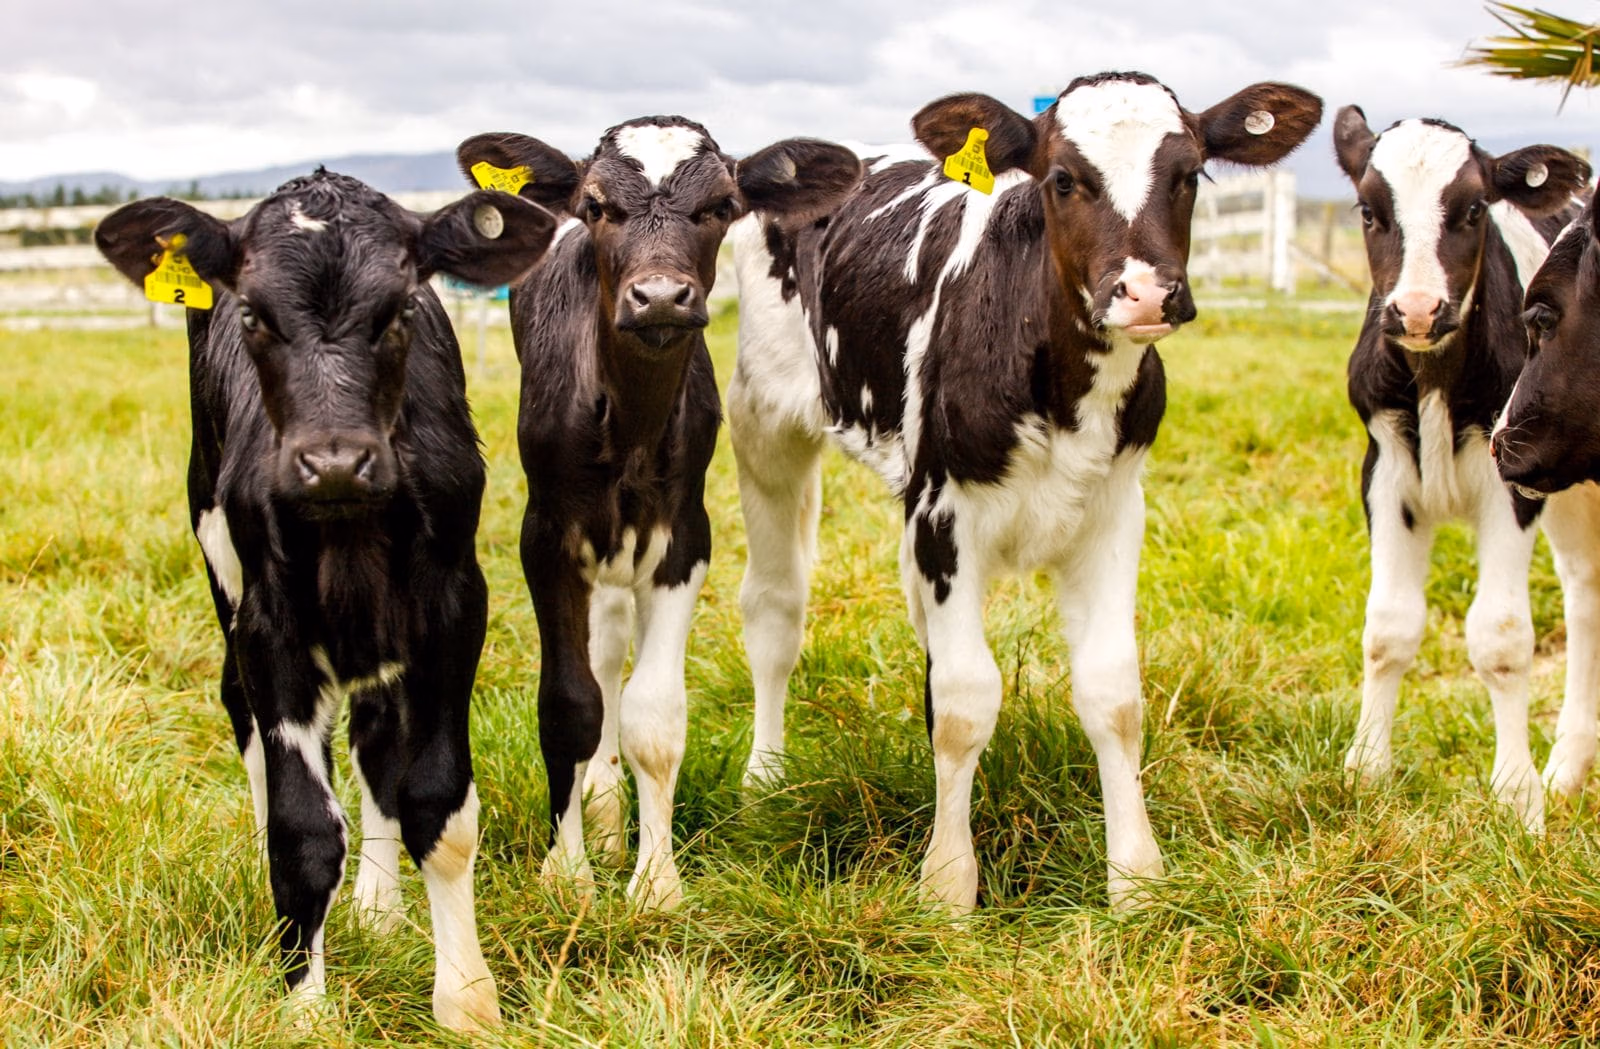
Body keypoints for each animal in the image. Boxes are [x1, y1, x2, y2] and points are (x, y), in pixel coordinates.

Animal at [94, 170, 558, 1029]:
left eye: (401, 308)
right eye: (252, 314)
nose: (334, 461)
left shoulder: (453, 606)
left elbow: (438, 803)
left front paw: (466, 998)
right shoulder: (268, 624)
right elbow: (302, 830)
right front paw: (303, 1005)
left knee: (374, 732)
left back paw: (378, 905)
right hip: (221, 563)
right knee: (244, 713)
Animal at [453, 118, 861, 909]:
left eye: (721, 205)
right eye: (596, 205)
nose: (662, 297)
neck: (630, 421)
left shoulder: (683, 538)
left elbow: (656, 714)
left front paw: (656, 880)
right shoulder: (546, 536)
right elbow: (570, 704)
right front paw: (569, 873)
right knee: (604, 652)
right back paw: (603, 812)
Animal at [727, 72, 1324, 912]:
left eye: (1190, 173)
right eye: (1063, 178)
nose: (1146, 292)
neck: (1063, 390)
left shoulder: (1113, 512)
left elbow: (1112, 692)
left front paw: (1136, 879)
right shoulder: (945, 514)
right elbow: (966, 701)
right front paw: (947, 886)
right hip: (763, 419)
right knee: (775, 607)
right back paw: (766, 780)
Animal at [1333, 107, 1600, 829]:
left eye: (1475, 208)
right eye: (1369, 211)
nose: (1419, 309)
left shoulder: (1511, 479)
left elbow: (1501, 637)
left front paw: (1517, 794)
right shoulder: (1385, 470)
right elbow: (1388, 625)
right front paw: (1366, 770)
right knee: (1586, 589)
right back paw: (1570, 767)